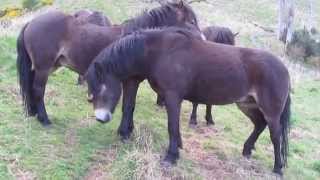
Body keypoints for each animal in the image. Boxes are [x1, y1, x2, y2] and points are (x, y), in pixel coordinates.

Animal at [16, 1, 200, 126]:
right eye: (191, 21)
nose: (202, 39)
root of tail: (31, 23)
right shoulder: (130, 80)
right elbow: (128, 105)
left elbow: (129, 104)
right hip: (43, 68)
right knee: (38, 90)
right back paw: (44, 119)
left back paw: (34, 113)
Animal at [86, 27, 292, 175]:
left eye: (102, 88)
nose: (101, 118)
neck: (160, 52)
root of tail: (284, 69)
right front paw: (177, 147)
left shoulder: (172, 96)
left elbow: (171, 125)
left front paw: (171, 156)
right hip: (247, 104)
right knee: (259, 125)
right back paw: (247, 150)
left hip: (271, 112)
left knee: (275, 136)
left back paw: (277, 168)